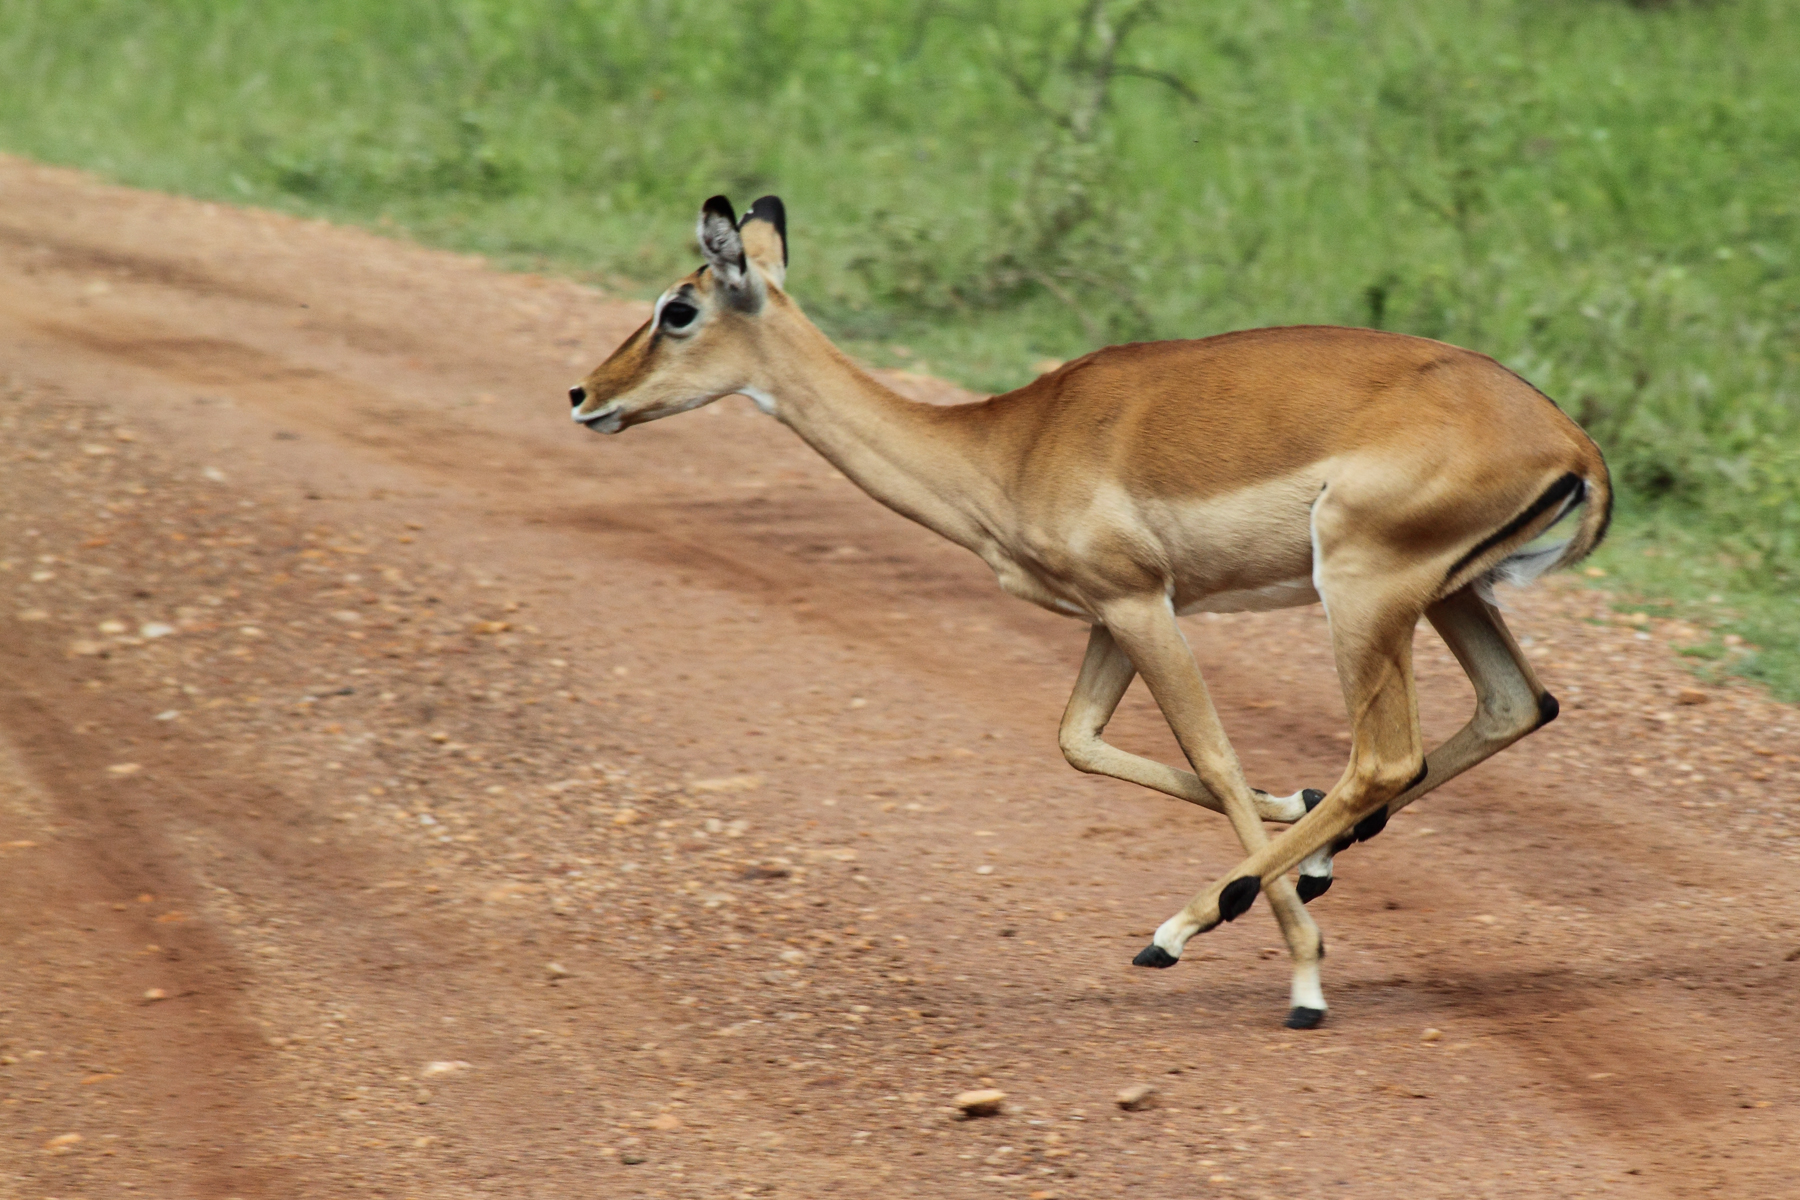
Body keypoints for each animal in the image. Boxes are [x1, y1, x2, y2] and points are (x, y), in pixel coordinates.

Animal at [567, 195, 1611, 1028]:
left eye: (678, 307)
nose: (584, 394)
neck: (1007, 445)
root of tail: (1572, 444)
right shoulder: (1108, 617)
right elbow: (1081, 741)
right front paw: (1300, 828)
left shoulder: (1140, 602)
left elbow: (1211, 752)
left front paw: (1301, 972)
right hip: (1451, 596)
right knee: (1513, 707)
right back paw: (1303, 860)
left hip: (1362, 589)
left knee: (1388, 756)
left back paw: (1187, 929)